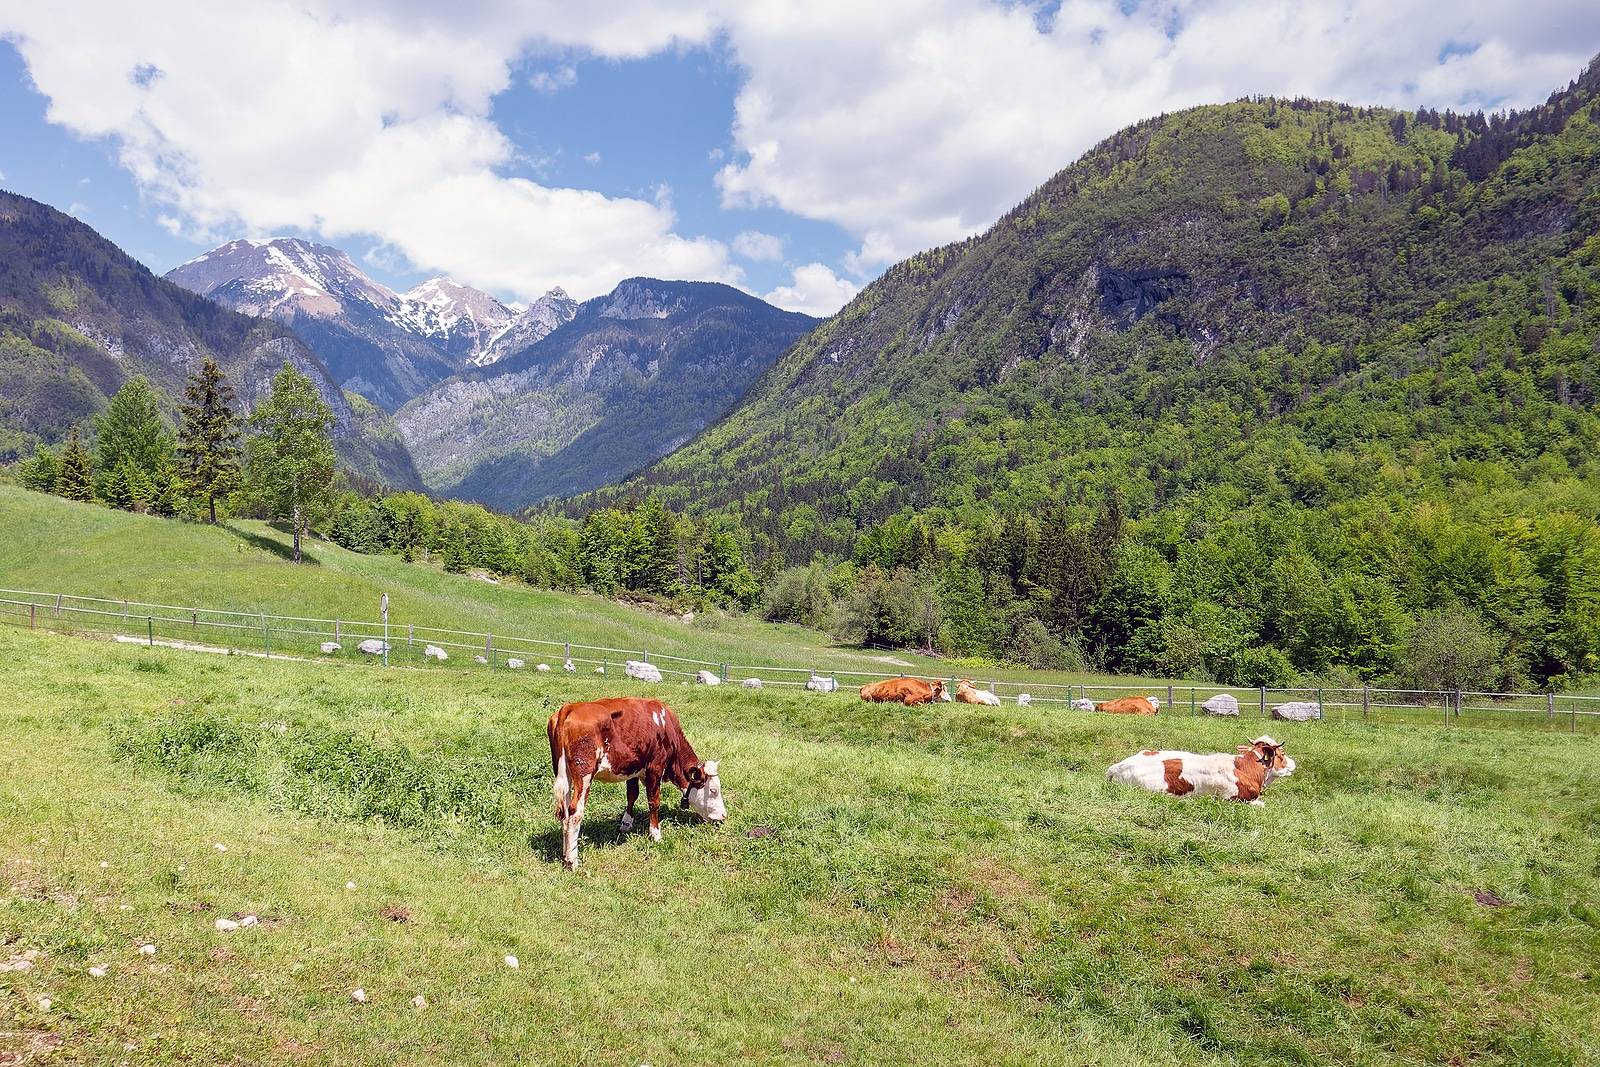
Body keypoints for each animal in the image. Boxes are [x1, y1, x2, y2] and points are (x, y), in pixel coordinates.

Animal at [547, 700, 729, 870]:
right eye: (713, 790)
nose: (723, 816)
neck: (665, 726)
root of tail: (569, 708)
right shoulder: (655, 767)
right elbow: (654, 802)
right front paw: (655, 834)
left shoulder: (633, 768)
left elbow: (632, 795)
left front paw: (626, 824)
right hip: (584, 773)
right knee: (575, 812)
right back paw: (572, 861)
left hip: (563, 773)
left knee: (565, 812)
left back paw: (565, 854)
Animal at [1113, 735, 1299, 809]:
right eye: (1282, 754)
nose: (1294, 763)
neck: (1245, 768)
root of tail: (1117, 766)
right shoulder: (1234, 800)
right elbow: (1262, 804)